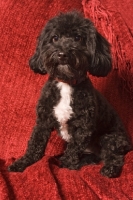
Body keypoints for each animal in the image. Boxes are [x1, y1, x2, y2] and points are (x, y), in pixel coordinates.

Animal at [8, 10, 131, 177]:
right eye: (55, 38)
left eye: (78, 38)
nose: (62, 54)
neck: (66, 83)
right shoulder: (43, 121)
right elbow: (35, 144)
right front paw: (22, 163)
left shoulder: (83, 127)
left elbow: (73, 148)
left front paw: (66, 166)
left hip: (111, 138)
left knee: (114, 155)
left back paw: (108, 169)